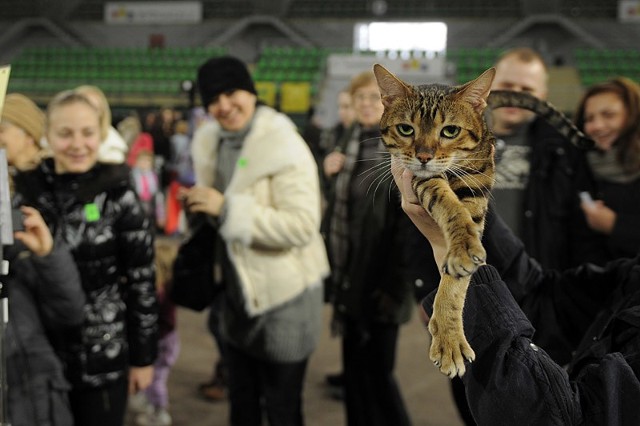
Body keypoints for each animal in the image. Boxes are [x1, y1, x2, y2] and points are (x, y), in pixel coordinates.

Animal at [372, 62, 592, 376]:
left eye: (450, 131)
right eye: (405, 129)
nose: (424, 156)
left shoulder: (477, 186)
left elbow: (455, 283)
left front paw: (448, 336)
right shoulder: (423, 178)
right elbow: (448, 204)